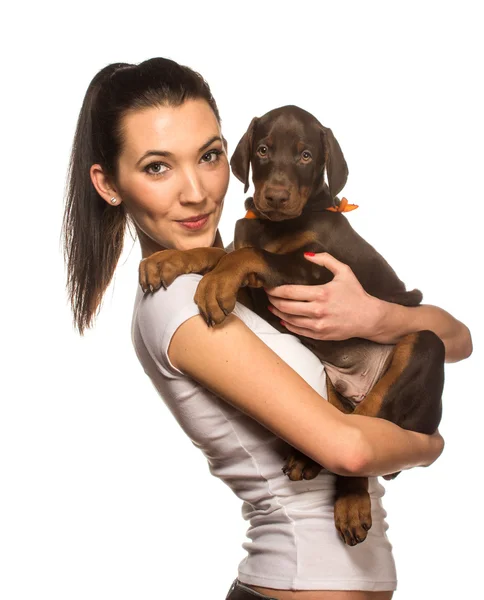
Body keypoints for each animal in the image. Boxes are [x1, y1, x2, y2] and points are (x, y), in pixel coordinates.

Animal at [138, 105, 444, 548]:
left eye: (305, 156)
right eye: (263, 150)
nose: (277, 197)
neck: (277, 224)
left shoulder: (316, 274)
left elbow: (248, 254)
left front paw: (212, 284)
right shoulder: (261, 297)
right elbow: (220, 251)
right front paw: (168, 260)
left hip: (422, 346)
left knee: (370, 422)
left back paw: (348, 498)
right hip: (331, 382)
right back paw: (307, 459)